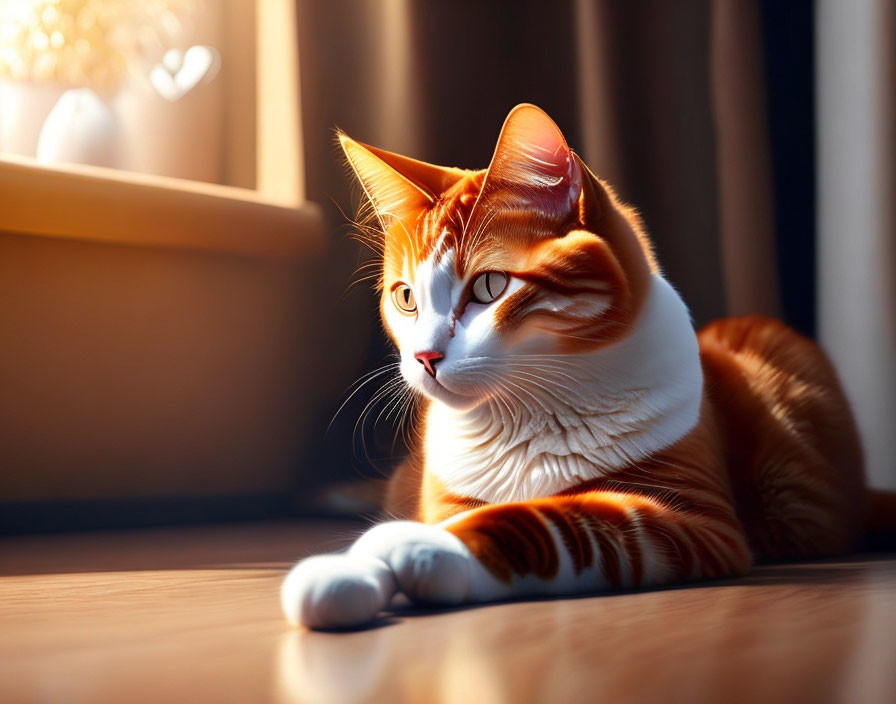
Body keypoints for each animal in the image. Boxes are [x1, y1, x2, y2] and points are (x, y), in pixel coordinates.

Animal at [280, 102, 888, 628]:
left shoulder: (697, 517)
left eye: (489, 286)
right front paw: (348, 568)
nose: (425, 357)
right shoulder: (443, 495)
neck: (523, 420)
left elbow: (552, 519)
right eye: (406, 297)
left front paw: (422, 545)